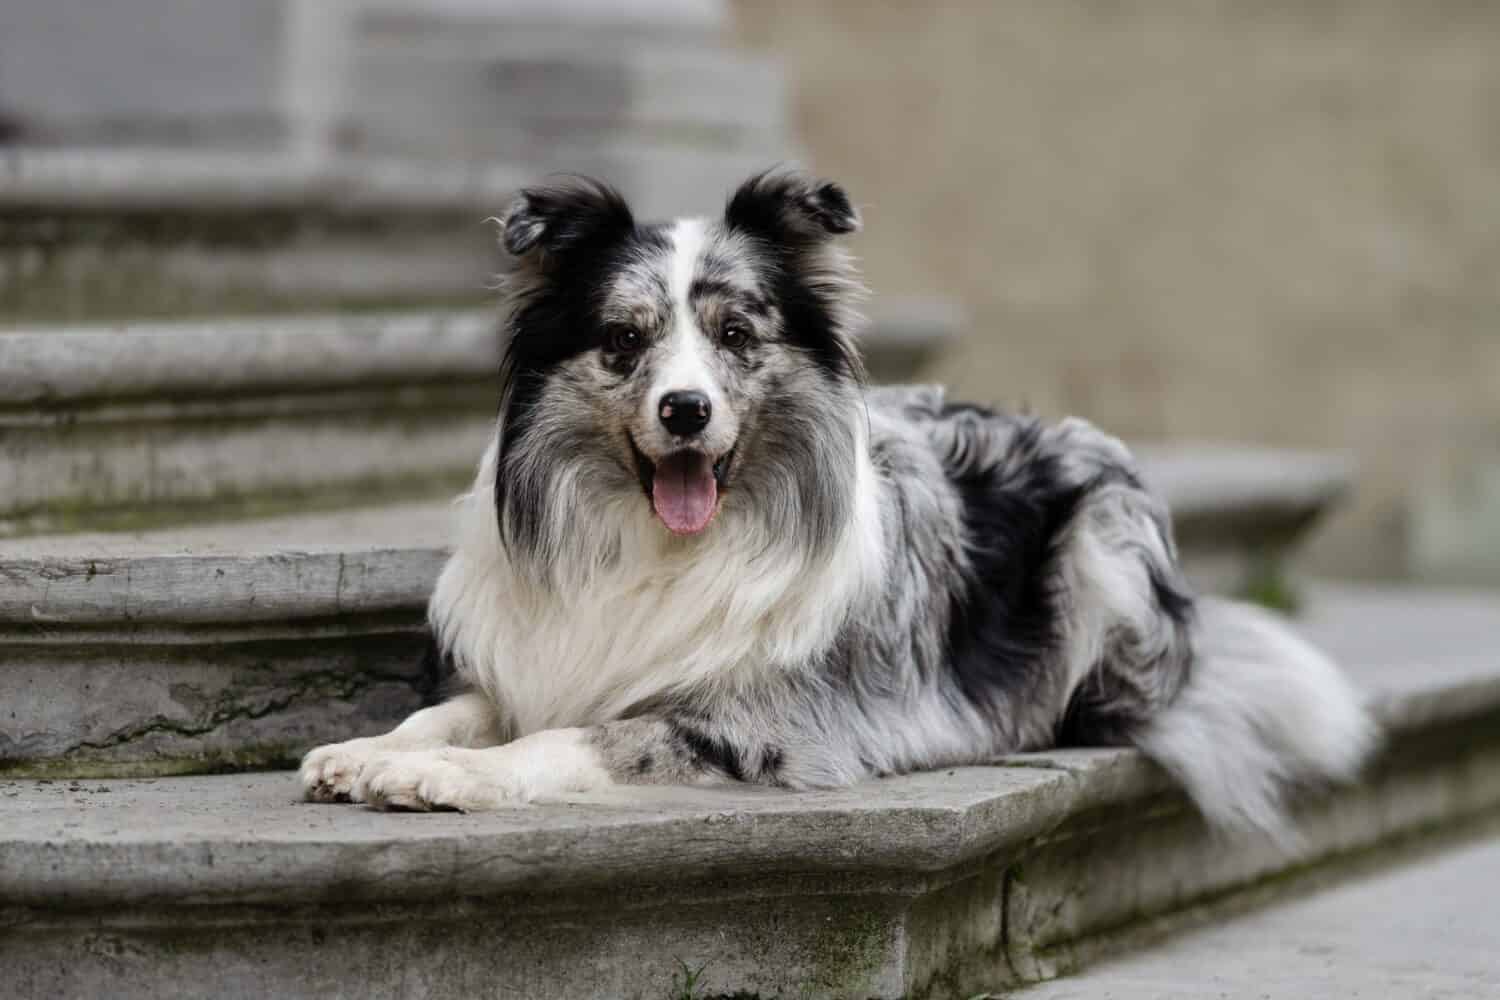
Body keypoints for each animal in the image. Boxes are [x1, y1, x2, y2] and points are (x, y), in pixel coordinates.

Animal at [298, 172, 1374, 839]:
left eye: (736, 334)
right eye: (624, 339)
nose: (684, 410)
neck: (658, 546)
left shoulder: (756, 723)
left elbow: (568, 738)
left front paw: (448, 778)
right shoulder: (536, 659)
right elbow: (458, 709)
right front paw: (371, 751)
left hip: (1104, 550)